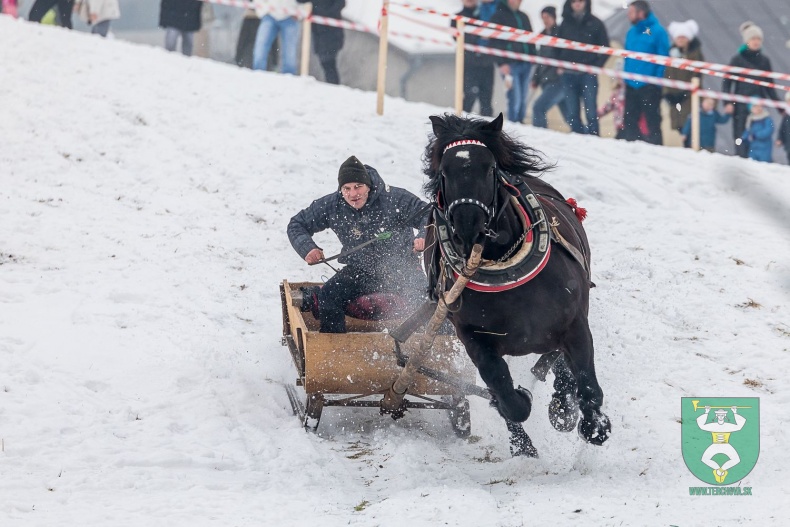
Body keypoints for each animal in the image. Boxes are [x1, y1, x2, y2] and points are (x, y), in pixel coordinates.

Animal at [424, 112, 608, 458]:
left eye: (489, 168)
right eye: (444, 172)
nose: (468, 227)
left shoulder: (574, 322)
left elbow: (586, 381)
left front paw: (590, 423)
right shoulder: (473, 339)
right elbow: (506, 396)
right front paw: (521, 429)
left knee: (556, 360)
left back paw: (563, 406)